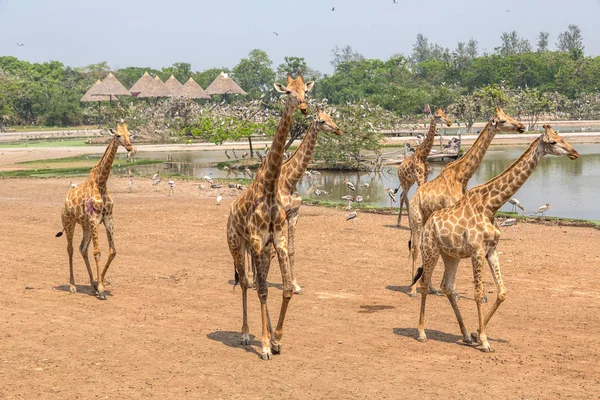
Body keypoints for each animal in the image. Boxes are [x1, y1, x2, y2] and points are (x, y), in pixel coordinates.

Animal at [56, 121, 132, 300]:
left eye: (130, 134)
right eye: (117, 135)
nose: (129, 146)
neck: (101, 183)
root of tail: (64, 201)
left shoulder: (108, 218)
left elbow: (112, 251)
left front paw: (99, 284)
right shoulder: (94, 219)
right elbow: (97, 252)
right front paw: (102, 290)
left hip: (86, 226)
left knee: (82, 248)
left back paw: (91, 285)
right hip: (69, 222)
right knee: (70, 249)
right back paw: (72, 286)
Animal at [276, 106, 342, 294]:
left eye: (331, 116)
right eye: (322, 120)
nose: (338, 130)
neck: (290, 181)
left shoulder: (293, 215)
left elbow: (291, 250)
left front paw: (296, 285)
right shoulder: (280, 216)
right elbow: (279, 249)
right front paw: (287, 285)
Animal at [408, 108, 524, 296]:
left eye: (508, 116)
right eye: (502, 120)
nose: (521, 126)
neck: (462, 175)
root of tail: (413, 197)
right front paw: (456, 292)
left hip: (427, 220)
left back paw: (432, 288)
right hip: (416, 218)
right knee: (415, 247)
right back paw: (412, 290)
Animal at [414, 124, 580, 350]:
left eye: (562, 137)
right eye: (553, 141)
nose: (575, 153)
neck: (491, 205)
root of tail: (429, 223)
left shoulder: (491, 249)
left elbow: (502, 291)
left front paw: (476, 333)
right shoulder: (477, 250)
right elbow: (477, 294)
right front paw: (484, 341)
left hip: (451, 256)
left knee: (447, 286)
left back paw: (465, 334)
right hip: (430, 250)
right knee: (424, 284)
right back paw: (421, 332)